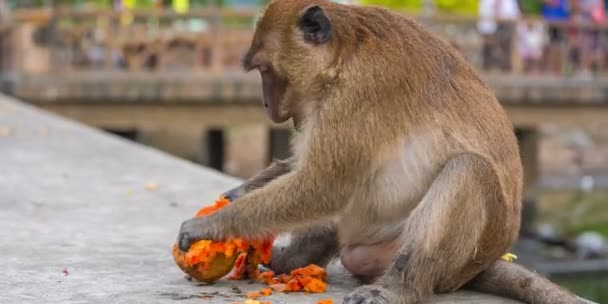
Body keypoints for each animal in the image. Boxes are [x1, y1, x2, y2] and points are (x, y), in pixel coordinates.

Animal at [176, 1, 588, 302]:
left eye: (266, 71)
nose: (266, 104)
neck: (343, 58)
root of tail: (478, 265)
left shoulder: (359, 95)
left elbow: (323, 186)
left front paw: (210, 225)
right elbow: (308, 171)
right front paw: (237, 193)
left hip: (441, 262)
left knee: (468, 169)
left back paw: (399, 287)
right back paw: (292, 260)